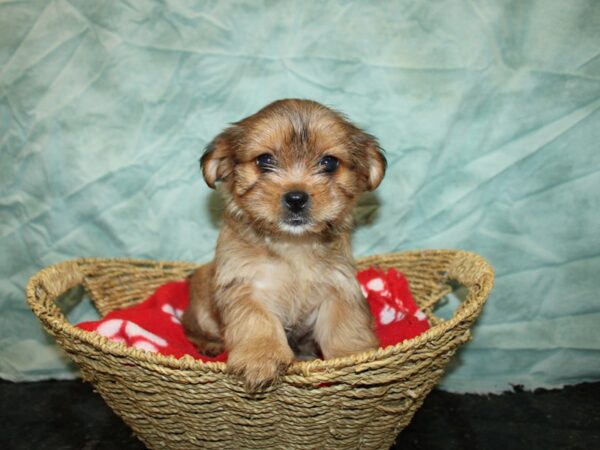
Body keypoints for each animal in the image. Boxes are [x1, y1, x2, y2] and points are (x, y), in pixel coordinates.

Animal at [183, 99, 386, 390]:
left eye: (329, 163)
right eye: (265, 160)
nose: (296, 198)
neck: (293, 243)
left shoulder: (339, 285)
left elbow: (345, 324)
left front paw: (353, 357)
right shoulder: (245, 284)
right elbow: (257, 321)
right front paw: (260, 358)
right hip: (200, 302)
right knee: (191, 329)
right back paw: (210, 345)